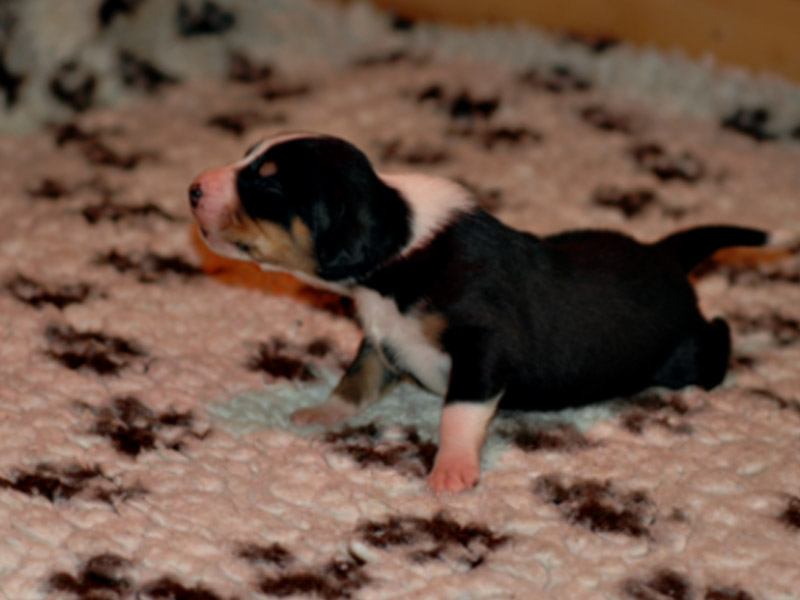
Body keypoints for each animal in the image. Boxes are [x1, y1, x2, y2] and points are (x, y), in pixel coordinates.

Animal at [189, 132, 767, 493]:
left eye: (267, 182)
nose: (193, 188)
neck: (399, 252)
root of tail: (664, 254)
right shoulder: (381, 339)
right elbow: (356, 379)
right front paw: (321, 413)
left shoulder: (484, 344)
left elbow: (459, 411)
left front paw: (451, 469)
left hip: (687, 359)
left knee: (717, 335)